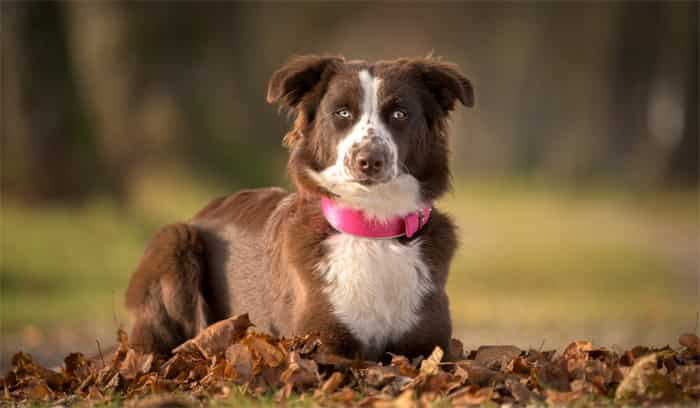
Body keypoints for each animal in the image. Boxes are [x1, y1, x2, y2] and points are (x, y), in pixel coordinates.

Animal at [126, 55, 476, 360]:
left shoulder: (430, 344)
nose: (369, 161)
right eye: (342, 113)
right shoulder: (322, 341)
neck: (373, 229)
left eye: (400, 114)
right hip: (174, 238)